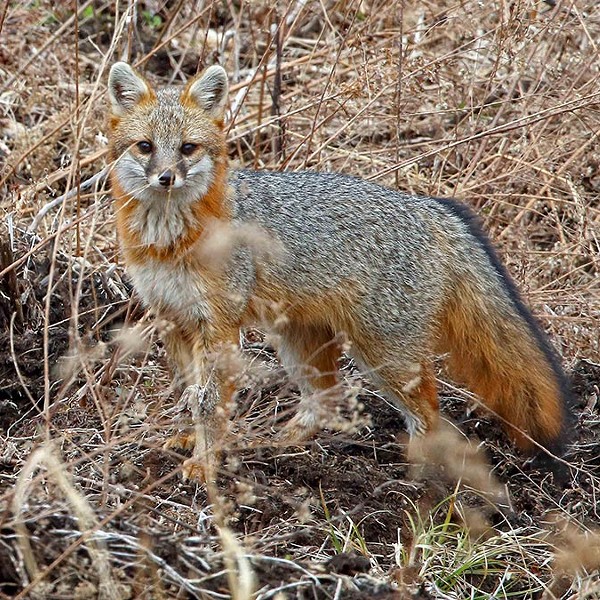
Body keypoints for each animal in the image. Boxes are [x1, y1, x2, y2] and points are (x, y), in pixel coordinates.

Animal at [108, 62, 572, 478]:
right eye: (145, 146)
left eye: (188, 148)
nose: (166, 178)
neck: (168, 243)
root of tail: (430, 207)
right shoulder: (174, 318)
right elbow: (192, 394)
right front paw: (193, 442)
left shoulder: (217, 325)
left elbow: (208, 402)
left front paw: (205, 464)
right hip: (301, 345)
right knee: (326, 397)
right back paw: (282, 443)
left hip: (384, 355)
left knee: (428, 408)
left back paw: (419, 474)